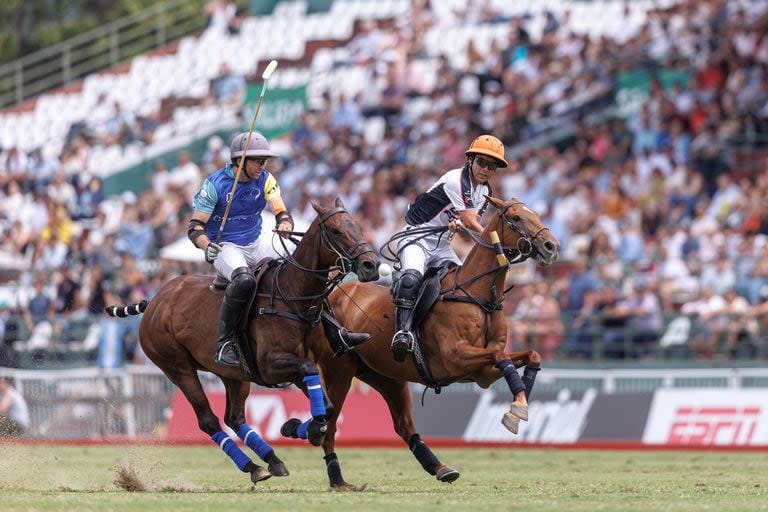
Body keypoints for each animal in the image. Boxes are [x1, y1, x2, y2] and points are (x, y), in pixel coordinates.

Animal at [106, 198, 382, 486]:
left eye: (358, 225)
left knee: (235, 418)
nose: (371, 265)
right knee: (209, 420)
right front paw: (304, 428)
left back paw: (271, 460)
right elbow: (315, 386)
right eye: (335, 230)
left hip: (233, 374)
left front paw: (297, 427)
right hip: (177, 368)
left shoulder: (292, 366)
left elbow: (326, 406)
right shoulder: (271, 366)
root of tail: (155, 301)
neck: (293, 295)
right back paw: (253, 465)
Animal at [298, 196, 560, 488]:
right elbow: (503, 358)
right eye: (515, 218)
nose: (551, 247)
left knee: (403, 425)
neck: (479, 295)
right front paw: (517, 409)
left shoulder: (483, 373)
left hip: (386, 375)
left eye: (536, 214)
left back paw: (440, 467)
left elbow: (529, 355)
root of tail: (327, 297)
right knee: (331, 424)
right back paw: (337, 478)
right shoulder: (455, 358)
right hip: (339, 370)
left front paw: (519, 404)